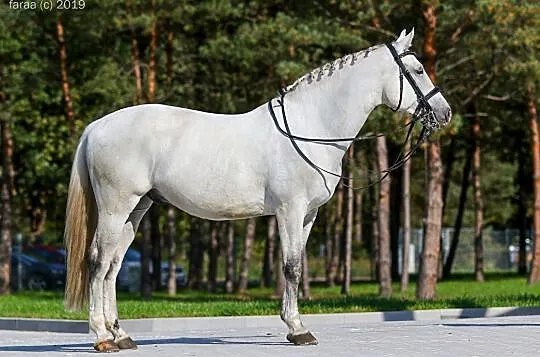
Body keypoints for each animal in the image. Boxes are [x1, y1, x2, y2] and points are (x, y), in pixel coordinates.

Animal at [64, 29, 452, 350]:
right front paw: (298, 329)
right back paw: (102, 337)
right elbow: (291, 267)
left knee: (113, 266)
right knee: (98, 262)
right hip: (116, 207)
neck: (310, 127)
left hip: (137, 209)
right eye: (418, 70)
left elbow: (298, 266)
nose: (445, 113)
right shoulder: (290, 209)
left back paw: (121, 335)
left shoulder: (308, 214)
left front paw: (294, 325)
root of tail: (97, 126)